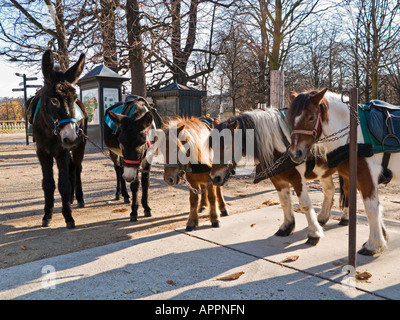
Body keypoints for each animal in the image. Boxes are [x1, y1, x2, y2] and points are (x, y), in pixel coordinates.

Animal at [27, 50, 88, 229]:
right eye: (53, 100)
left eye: (73, 99)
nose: (71, 137)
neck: (50, 131)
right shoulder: (42, 153)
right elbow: (48, 184)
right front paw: (47, 215)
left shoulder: (61, 152)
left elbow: (63, 184)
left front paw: (68, 216)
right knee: (71, 168)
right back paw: (70, 199)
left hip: (80, 145)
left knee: (77, 168)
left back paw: (79, 198)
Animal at [208, 109, 342, 245]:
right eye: (212, 146)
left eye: (227, 146)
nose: (214, 177)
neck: (281, 146)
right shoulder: (277, 179)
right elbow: (284, 202)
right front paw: (287, 227)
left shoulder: (297, 179)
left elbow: (304, 204)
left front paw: (314, 233)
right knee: (329, 190)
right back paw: (323, 218)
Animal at [286, 88, 398, 255]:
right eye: (289, 118)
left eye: (311, 117)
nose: (295, 153)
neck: (354, 133)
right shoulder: (358, 178)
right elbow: (375, 207)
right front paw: (381, 239)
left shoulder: (367, 175)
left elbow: (371, 208)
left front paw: (373, 245)